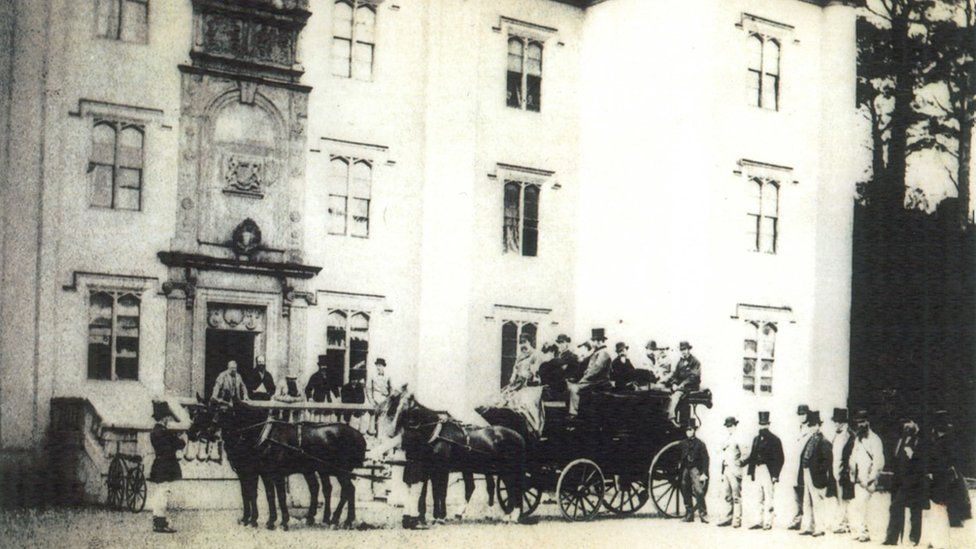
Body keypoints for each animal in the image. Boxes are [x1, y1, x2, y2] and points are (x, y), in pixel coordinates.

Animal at [187, 400, 366, 528]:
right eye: (199, 413)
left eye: (222, 412)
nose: (192, 433)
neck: (263, 435)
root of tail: (358, 435)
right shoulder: (258, 473)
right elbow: (259, 494)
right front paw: (257, 519)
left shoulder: (271, 473)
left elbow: (276, 496)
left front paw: (279, 520)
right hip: (320, 470)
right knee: (326, 489)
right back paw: (329, 519)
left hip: (340, 471)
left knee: (347, 490)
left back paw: (339, 520)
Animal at [374, 386, 528, 524]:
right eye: (392, 408)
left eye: (405, 409)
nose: (391, 433)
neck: (436, 433)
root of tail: (519, 436)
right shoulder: (432, 469)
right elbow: (433, 491)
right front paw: (433, 516)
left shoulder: (443, 469)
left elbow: (441, 492)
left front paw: (440, 516)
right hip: (502, 471)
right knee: (509, 488)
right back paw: (508, 515)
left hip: (508, 470)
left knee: (515, 488)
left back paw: (513, 516)